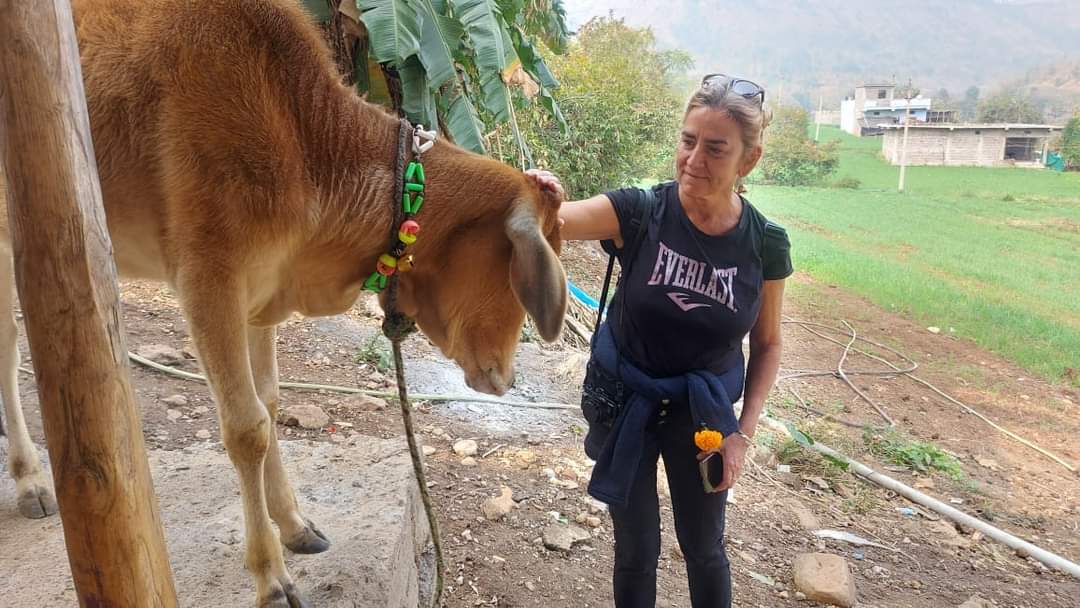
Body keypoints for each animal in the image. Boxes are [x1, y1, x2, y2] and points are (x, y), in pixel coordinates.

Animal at [0, 1, 570, 604]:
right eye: (517, 275)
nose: (506, 378)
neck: (303, 138)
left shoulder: (259, 295)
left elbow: (270, 404)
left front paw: (294, 524)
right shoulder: (209, 280)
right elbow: (247, 428)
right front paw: (270, 575)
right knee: (10, 348)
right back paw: (31, 479)